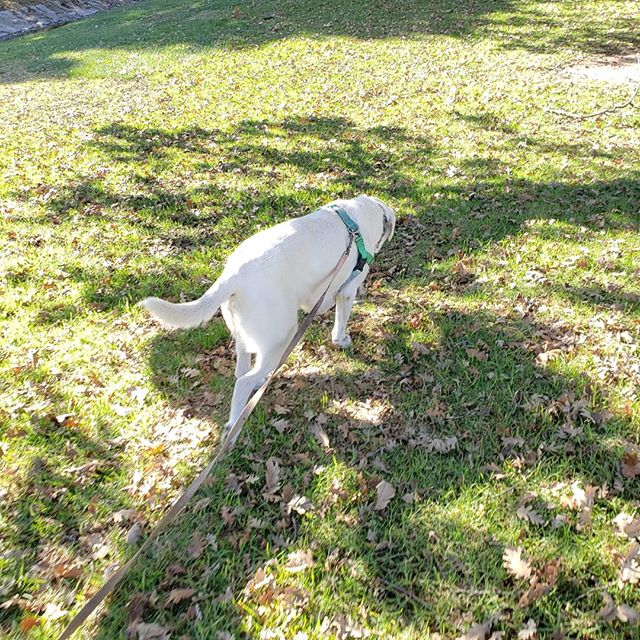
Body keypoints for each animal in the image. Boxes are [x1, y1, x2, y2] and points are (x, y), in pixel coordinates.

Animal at [141, 194, 396, 436]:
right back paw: (234, 427)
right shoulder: (346, 292)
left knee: (242, 369)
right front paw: (342, 340)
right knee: (244, 382)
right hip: (282, 338)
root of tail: (234, 274)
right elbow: (340, 323)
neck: (360, 216)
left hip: (246, 334)